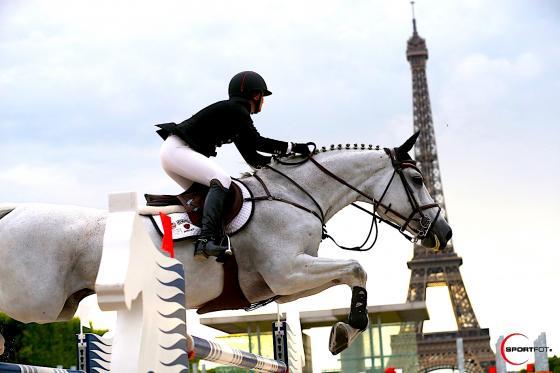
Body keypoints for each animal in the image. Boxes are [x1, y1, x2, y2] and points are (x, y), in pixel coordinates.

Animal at [0, 132, 450, 354]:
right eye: (416, 179)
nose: (443, 234)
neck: (297, 195)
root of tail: (13, 212)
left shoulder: (282, 285)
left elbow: (352, 274)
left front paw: (342, 331)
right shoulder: (288, 272)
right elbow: (357, 268)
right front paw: (344, 333)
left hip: (58, 307)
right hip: (35, 301)